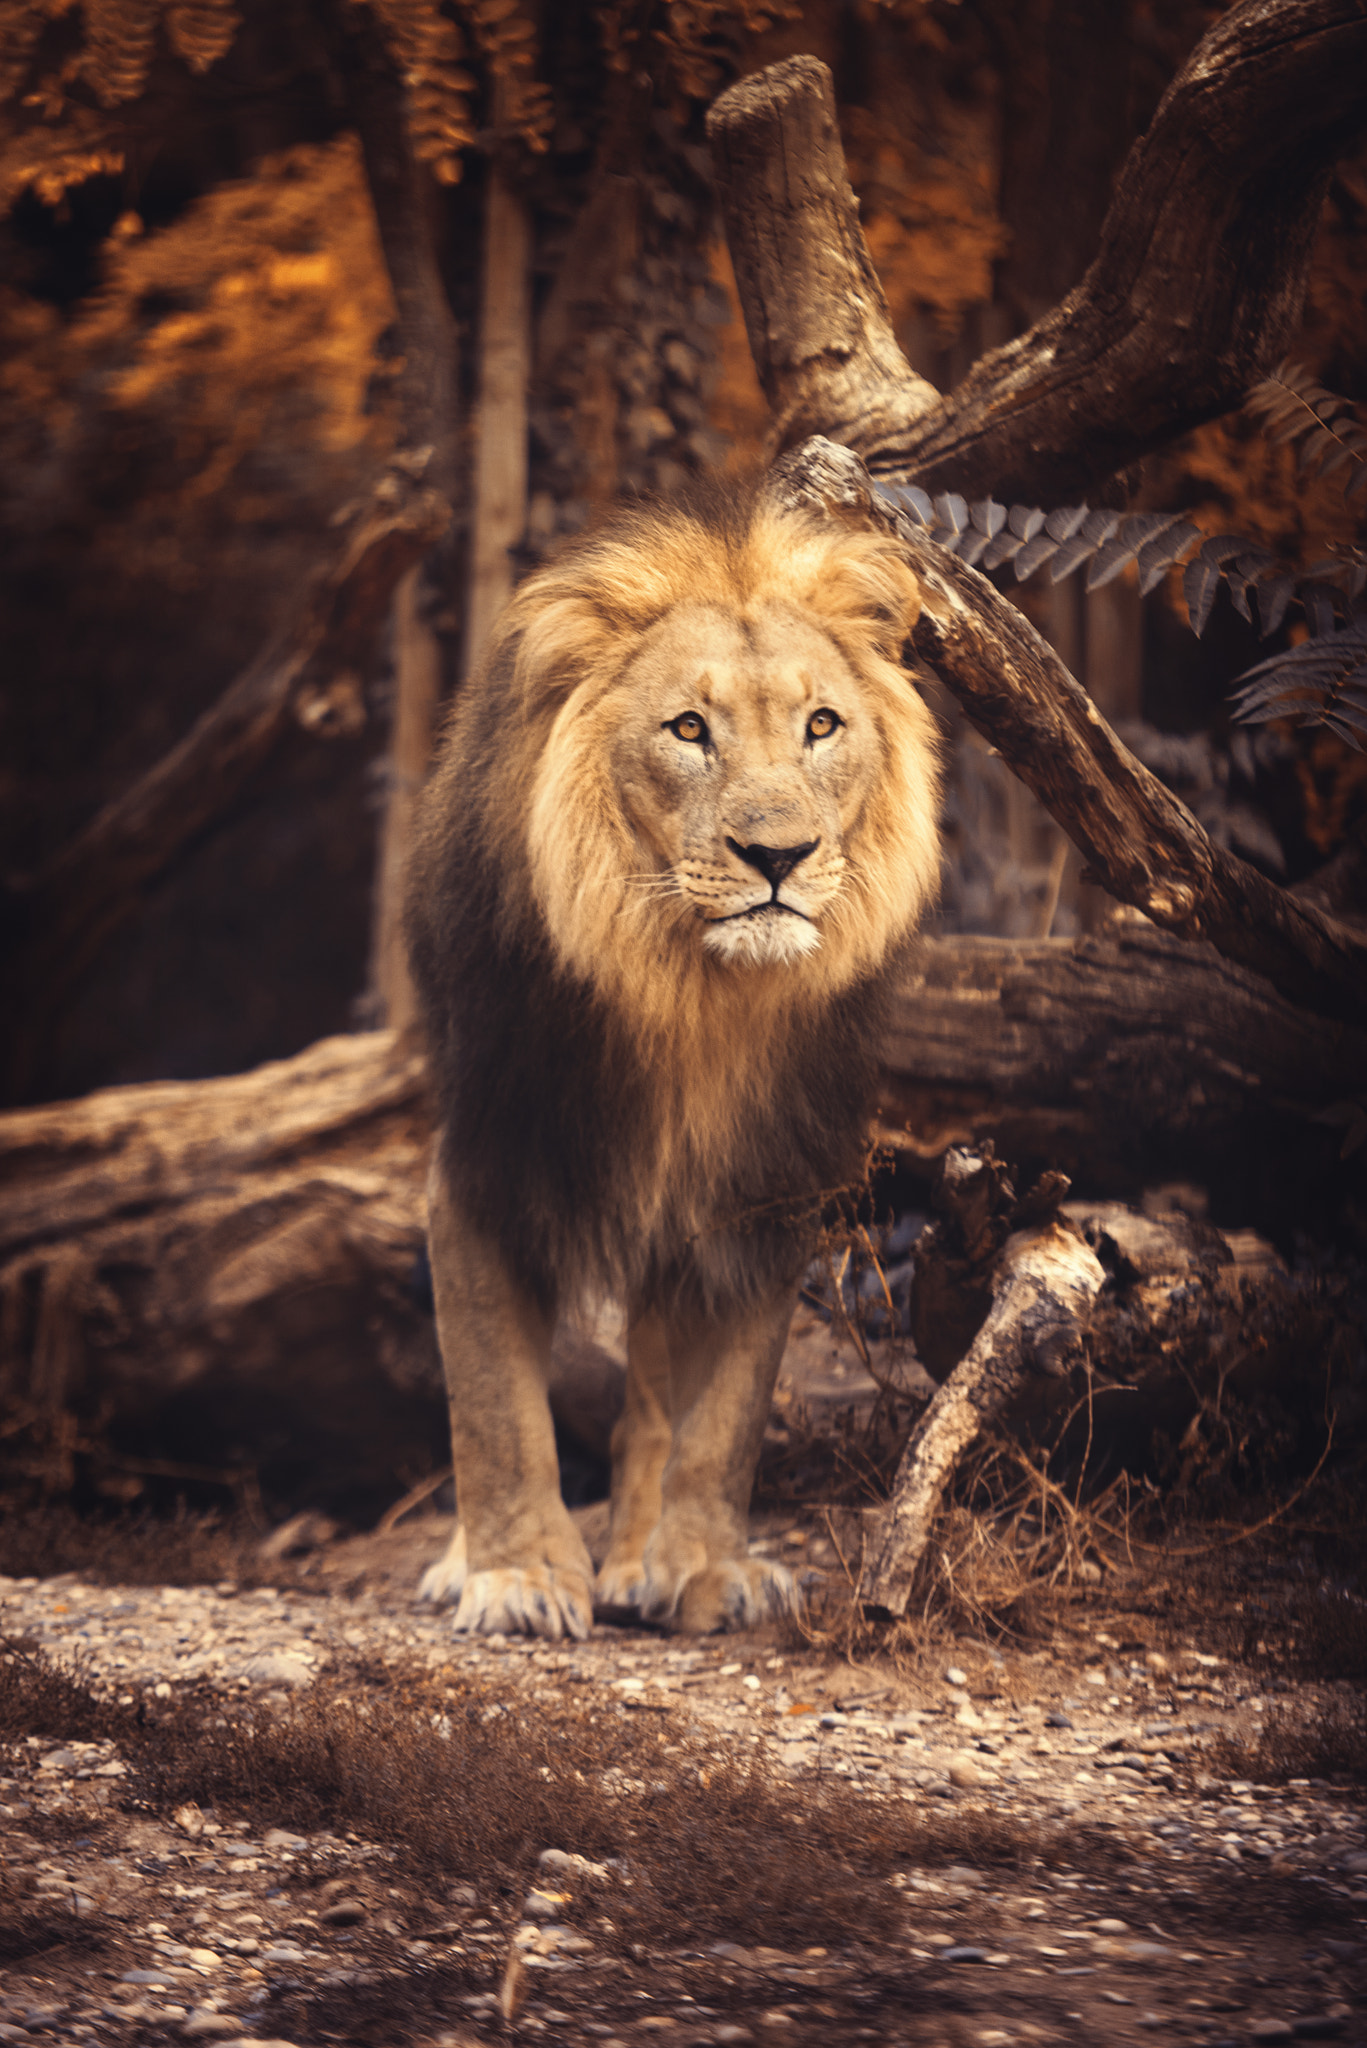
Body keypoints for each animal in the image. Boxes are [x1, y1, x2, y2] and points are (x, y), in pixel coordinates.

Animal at [404, 473, 940, 1639]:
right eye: (688, 729)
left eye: (821, 724)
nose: (777, 854)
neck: (695, 994)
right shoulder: (485, 1159)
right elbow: (492, 1402)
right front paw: (515, 1577)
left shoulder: (768, 1186)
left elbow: (721, 1419)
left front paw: (703, 1567)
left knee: (651, 1393)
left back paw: (639, 1560)